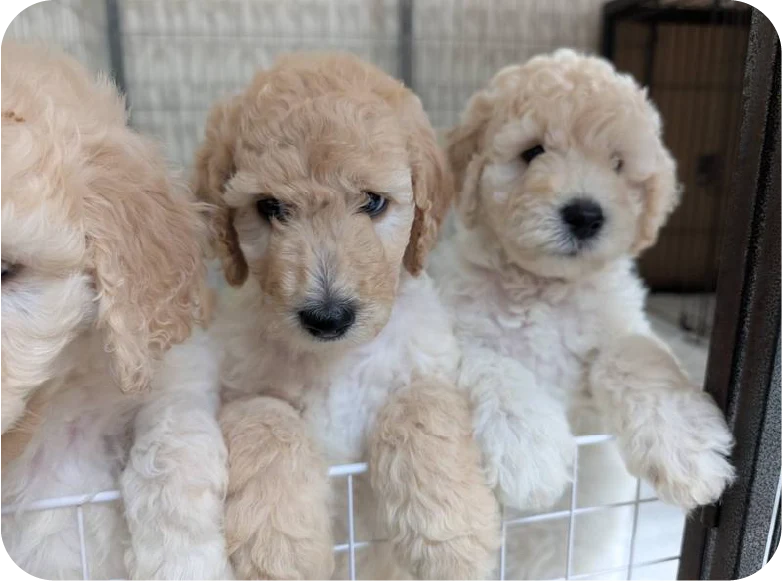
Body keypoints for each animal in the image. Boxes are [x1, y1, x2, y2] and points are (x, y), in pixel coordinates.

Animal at [195, 51, 502, 581]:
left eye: (373, 202)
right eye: (270, 207)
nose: (328, 316)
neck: (337, 356)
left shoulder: (429, 364)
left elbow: (420, 407)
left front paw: (453, 539)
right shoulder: (240, 387)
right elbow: (266, 419)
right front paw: (279, 550)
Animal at [429, 49, 736, 579]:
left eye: (617, 164)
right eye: (533, 152)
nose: (586, 215)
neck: (543, 286)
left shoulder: (617, 328)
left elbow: (635, 358)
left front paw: (688, 450)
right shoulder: (457, 326)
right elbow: (494, 363)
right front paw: (530, 453)